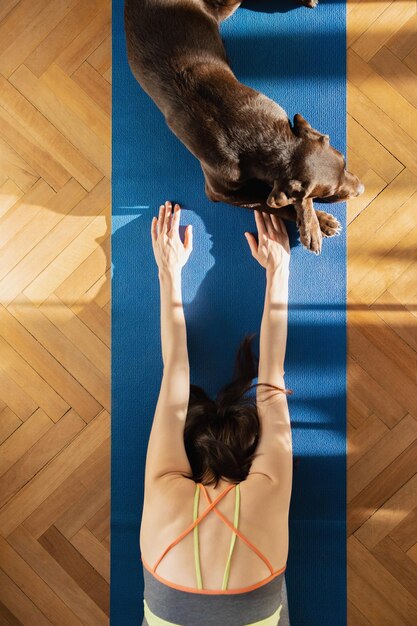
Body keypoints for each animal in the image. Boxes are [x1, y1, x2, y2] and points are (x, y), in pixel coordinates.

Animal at [125, 1, 362, 254]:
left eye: (345, 161)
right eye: (330, 192)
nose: (361, 189)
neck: (263, 141)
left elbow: (291, 197)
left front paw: (313, 223)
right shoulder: (219, 192)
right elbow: (270, 204)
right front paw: (319, 223)